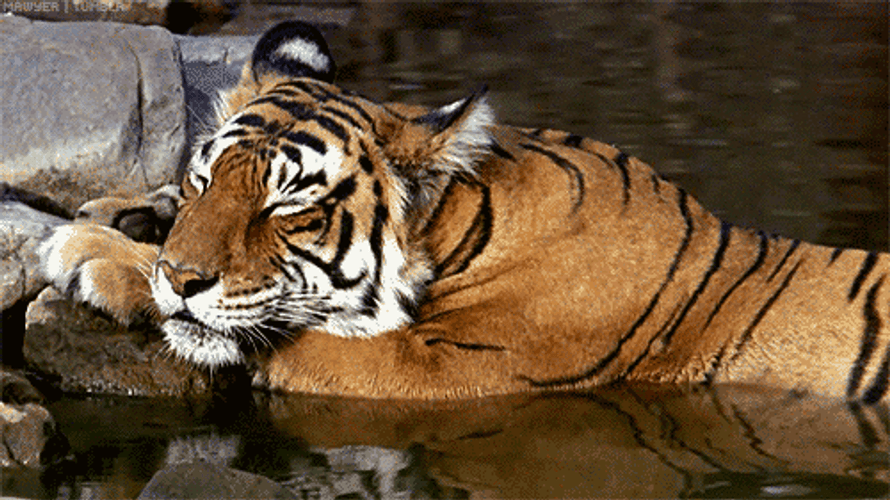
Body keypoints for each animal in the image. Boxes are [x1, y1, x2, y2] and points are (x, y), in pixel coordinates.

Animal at [38, 21, 890, 402]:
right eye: (205, 181)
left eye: (288, 205)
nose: (184, 277)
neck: (461, 225)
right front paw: (129, 218)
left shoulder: (444, 369)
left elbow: (263, 334)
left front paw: (93, 252)